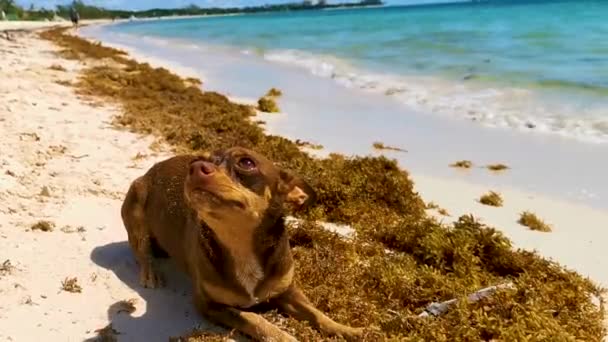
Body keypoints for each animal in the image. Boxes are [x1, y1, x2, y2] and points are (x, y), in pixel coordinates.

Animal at [121, 148, 364, 342]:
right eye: (199, 160)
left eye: (246, 162)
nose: (195, 167)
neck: (240, 244)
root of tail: (151, 170)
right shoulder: (211, 305)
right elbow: (254, 319)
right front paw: (284, 336)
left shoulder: (289, 291)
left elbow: (316, 313)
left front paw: (347, 330)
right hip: (136, 204)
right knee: (142, 251)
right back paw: (150, 272)